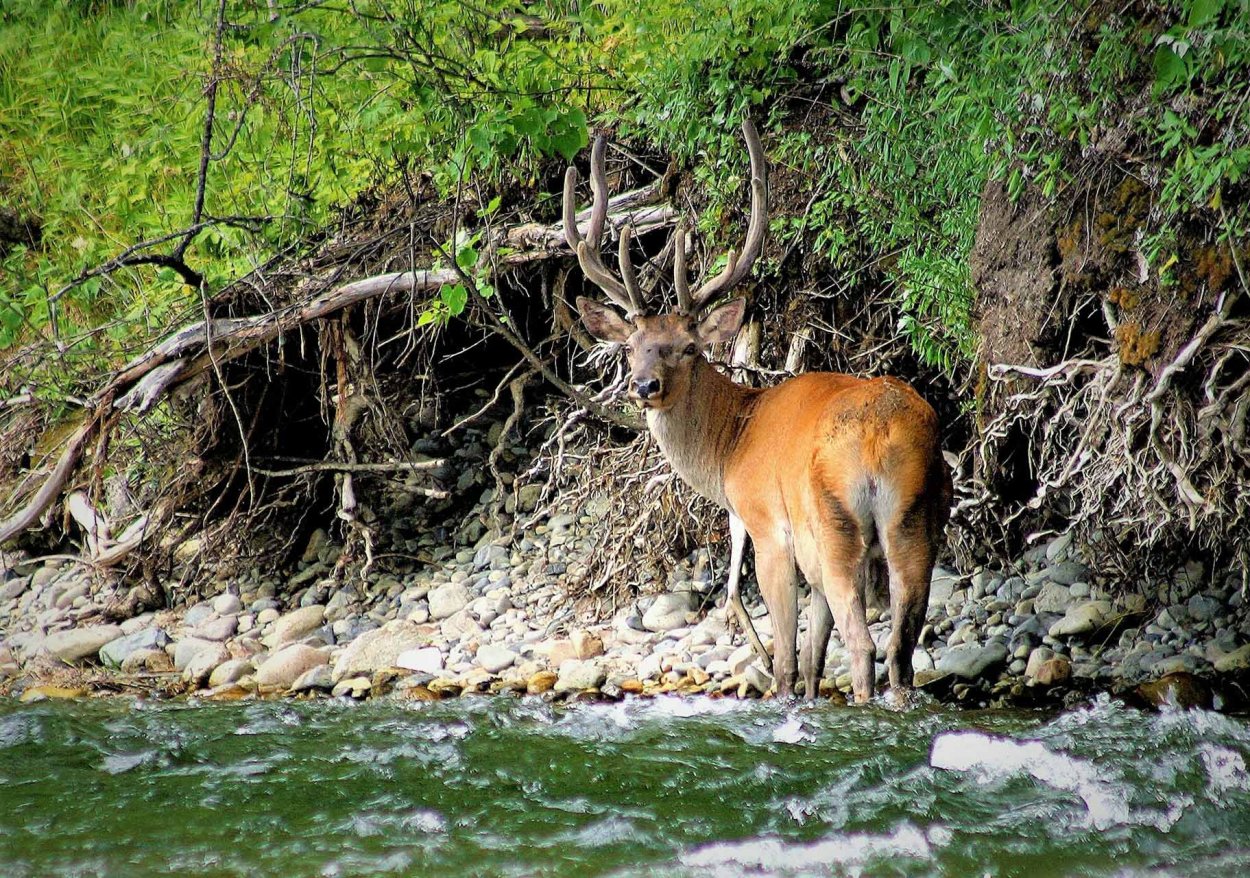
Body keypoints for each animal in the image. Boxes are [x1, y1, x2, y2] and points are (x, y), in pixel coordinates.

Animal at [562, 120, 950, 705]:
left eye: (689, 348)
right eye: (631, 347)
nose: (645, 385)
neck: (731, 447)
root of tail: (882, 439)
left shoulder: (768, 528)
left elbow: (789, 661)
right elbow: (814, 660)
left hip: (834, 524)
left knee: (865, 646)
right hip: (917, 519)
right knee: (902, 647)